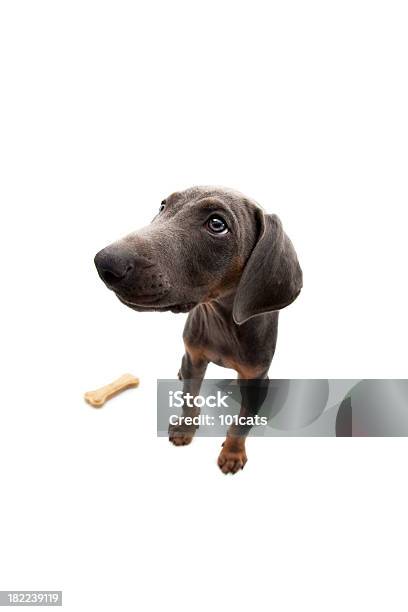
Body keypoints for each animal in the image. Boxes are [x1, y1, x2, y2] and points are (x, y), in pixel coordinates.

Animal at [94, 186, 302, 474]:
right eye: (163, 206)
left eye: (217, 224)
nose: (104, 263)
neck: (221, 321)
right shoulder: (194, 357)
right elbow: (189, 398)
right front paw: (185, 428)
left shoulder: (255, 376)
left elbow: (242, 421)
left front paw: (233, 452)